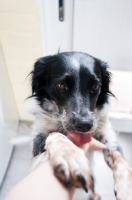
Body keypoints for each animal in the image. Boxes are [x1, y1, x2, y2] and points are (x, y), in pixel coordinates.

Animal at [27, 52, 132, 200]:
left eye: (95, 86)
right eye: (62, 86)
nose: (84, 125)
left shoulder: (106, 136)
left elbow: (119, 158)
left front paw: (126, 189)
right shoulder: (37, 144)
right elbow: (55, 134)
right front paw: (71, 159)